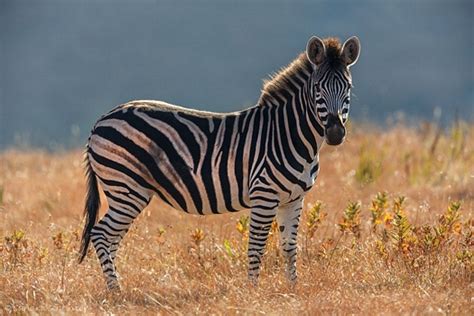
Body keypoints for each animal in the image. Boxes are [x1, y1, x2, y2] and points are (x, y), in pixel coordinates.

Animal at [78, 35, 360, 290]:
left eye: (348, 89)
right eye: (318, 89)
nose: (336, 133)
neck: (289, 134)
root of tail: (101, 120)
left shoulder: (294, 198)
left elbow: (290, 247)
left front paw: (293, 289)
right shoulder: (264, 195)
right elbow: (256, 247)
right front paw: (253, 292)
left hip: (128, 191)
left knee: (111, 239)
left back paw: (115, 286)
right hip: (126, 187)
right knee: (101, 234)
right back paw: (115, 291)